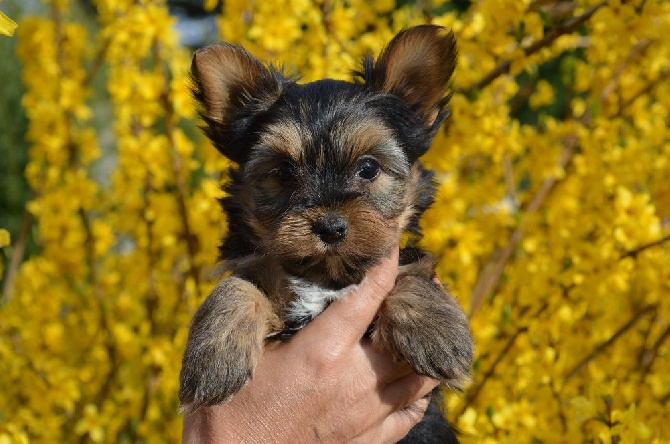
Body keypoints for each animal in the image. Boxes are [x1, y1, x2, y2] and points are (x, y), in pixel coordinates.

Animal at [181, 24, 476, 434]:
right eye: (284, 172)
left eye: (368, 168)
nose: (331, 227)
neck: (326, 276)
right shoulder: (257, 269)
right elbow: (236, 286)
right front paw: (212, 358)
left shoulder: (397, 260)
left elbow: (412, 273)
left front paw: (437, 331)